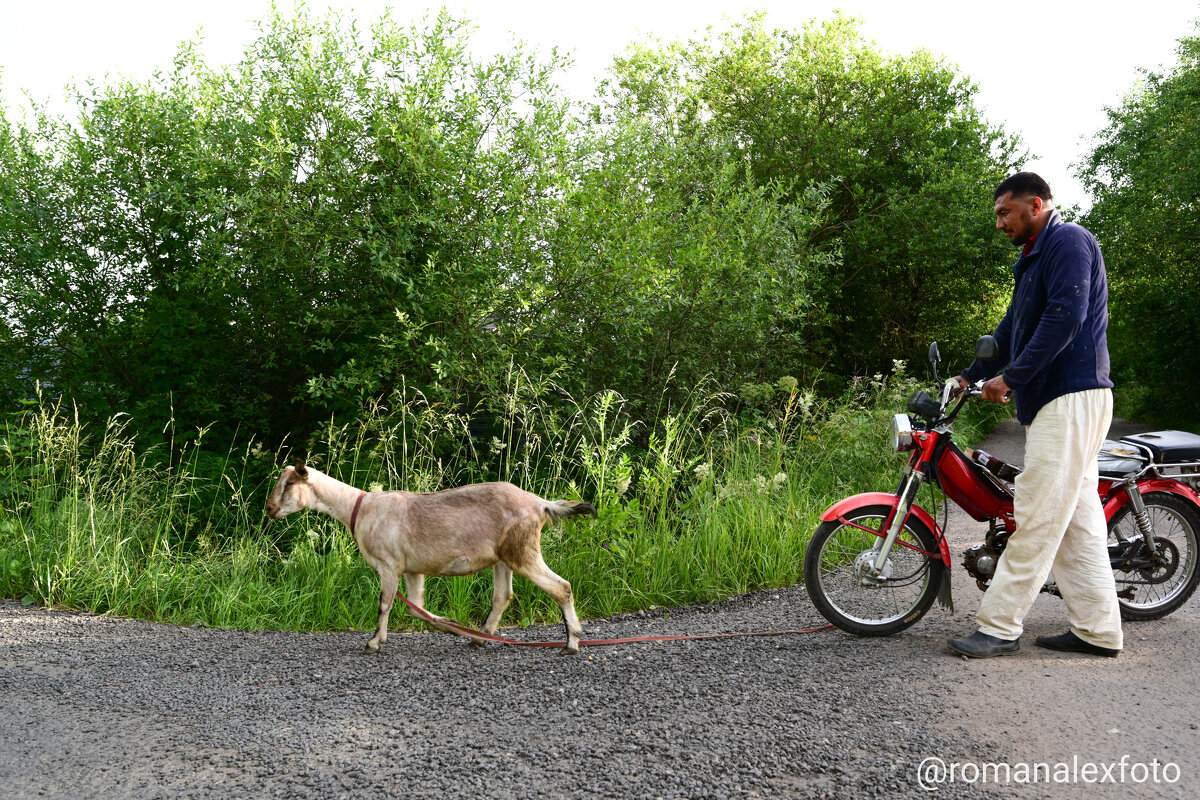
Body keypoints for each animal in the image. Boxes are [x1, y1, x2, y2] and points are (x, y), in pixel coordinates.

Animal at [265, 465, 597, 652]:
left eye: (289, 484)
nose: (269, 509)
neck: (359, 508)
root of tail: (539, 503)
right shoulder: (413, 569)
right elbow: (416, 608)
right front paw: (452, 625)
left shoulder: (389, 565)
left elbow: (385, 604)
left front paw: (373, 643)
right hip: (503, 558)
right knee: (503, 595)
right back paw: (480, 638)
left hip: (522, 550)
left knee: (561, 587)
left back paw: (571, 643)